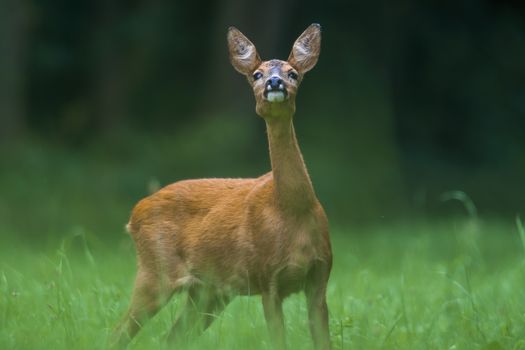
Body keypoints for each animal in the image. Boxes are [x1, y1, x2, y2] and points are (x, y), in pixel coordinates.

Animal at [111, 23, 332, 348]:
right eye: (257, 74)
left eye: (293, 72)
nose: (275, 81)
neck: (290, 210)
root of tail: (133, 215)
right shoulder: (267, 278)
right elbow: (278, 339)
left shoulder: (320, 277)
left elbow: (323, 339)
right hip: (156, 273)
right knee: (119, 332)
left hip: (208, 291)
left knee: (171, 337)